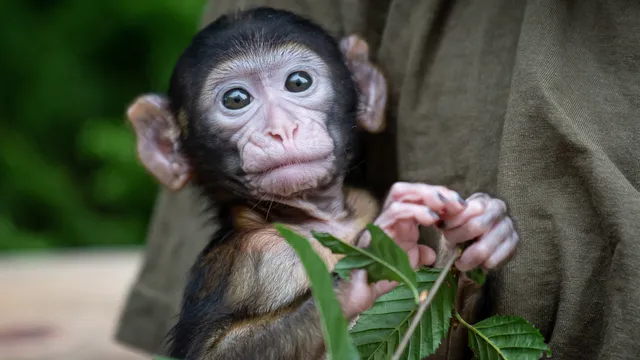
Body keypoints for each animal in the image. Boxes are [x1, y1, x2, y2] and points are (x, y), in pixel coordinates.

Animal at [126, 7, 520, 360]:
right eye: (235, 99)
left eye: (298, 82)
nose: (283, 129)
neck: (316, 219)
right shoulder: (247, 260)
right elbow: (212, 352)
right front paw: (370, 263)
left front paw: (478, 231)